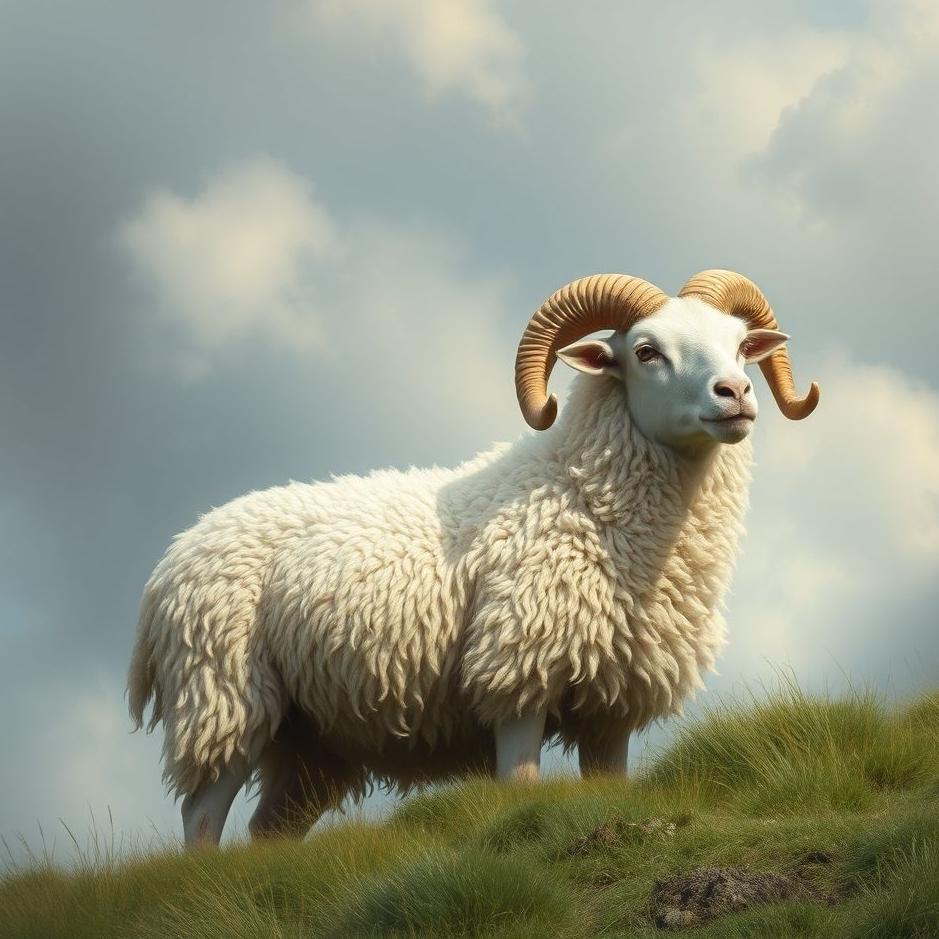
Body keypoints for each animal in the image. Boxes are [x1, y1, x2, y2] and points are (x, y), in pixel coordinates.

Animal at [127, 269, 819, 846]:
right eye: (646, 351)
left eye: (739, 343)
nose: (736, 393)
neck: (578, 494)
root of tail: (170, 559)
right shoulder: (515, 671)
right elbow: (522, 787)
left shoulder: (612, 703)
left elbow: (609, 785)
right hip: (222, 695)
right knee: (201, 816)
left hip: (309, 741)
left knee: (268, 833)